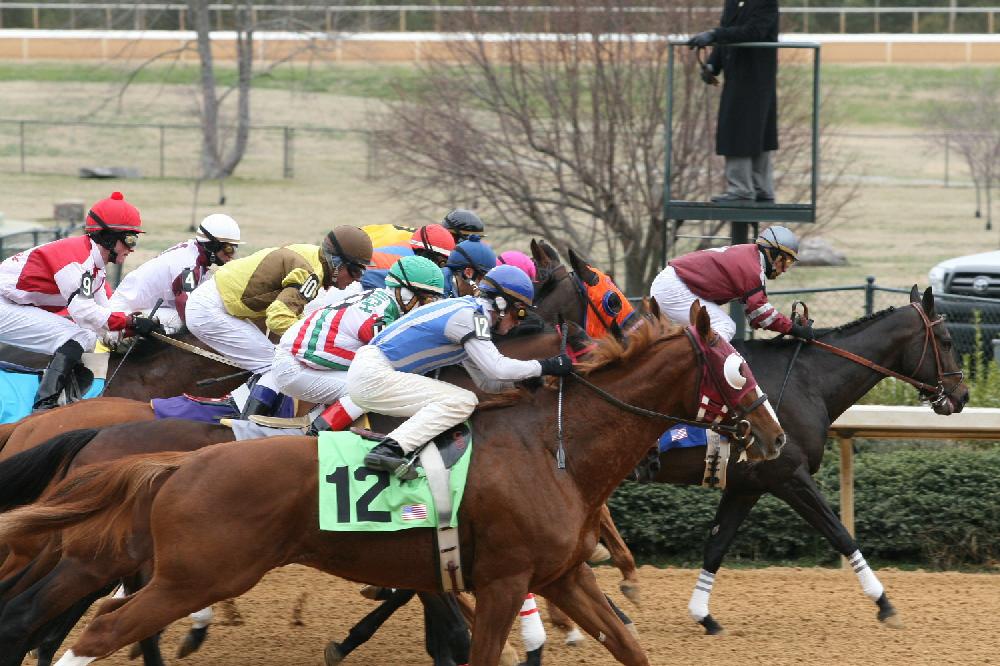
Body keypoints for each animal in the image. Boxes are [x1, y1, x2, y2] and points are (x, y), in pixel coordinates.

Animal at [0, 308, 785, 665]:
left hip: (142, 565)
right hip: (191, 574)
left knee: (69, 620)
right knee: (93, 628)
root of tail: (176, 466)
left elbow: (628, 646)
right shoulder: (504, 579)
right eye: (740, 369)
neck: (554, 450)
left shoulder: (559, 575)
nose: (776, 437)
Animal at [600, 287, 969, 634]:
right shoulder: (788, 475)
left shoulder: (747, 485)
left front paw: (704, 615)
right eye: (947, 340)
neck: (808, 382)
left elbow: (717, 545)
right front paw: (884, 603)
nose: (962, 395)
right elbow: (841, 534)